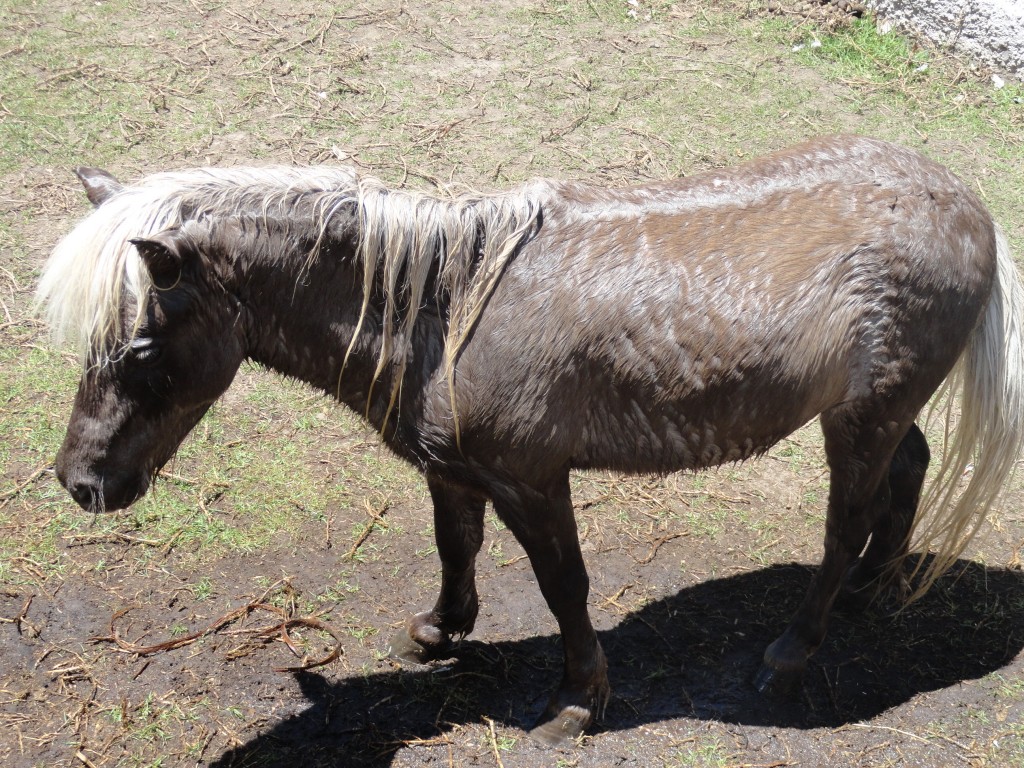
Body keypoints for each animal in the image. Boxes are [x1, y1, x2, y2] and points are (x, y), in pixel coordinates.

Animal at [37, 135, 1024, 746]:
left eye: (139, 347)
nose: (80, 482)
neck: (443, 313)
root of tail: (969, 207)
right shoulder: (453, 472)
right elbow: (455, 547)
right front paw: (440, 631)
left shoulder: (533, 480)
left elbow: (565, 587)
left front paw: (578, 703)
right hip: (869, 411)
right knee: (905, 476)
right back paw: (874, 588)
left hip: (859, 419)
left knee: (844, 520)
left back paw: (794, 650)